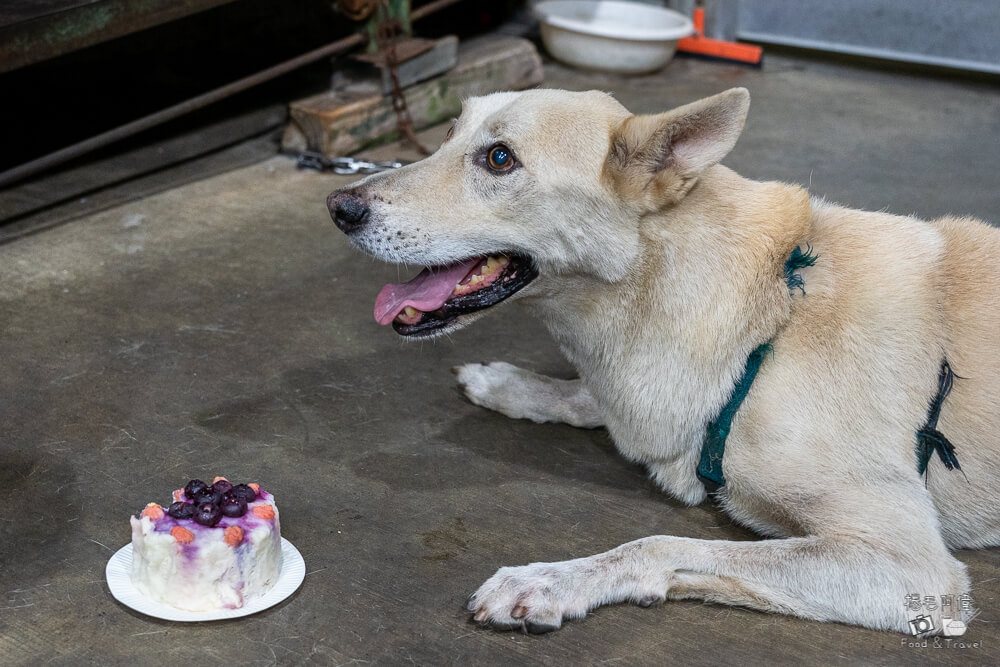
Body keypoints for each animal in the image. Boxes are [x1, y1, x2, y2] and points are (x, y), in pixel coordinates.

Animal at [324, 88, 996, 636]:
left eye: (499, 159)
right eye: (446, 136)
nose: (338, 206)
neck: (768, 320)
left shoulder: (907, 565)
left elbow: (656, 544)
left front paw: (550, 581)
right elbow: (584, 396)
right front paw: (508, 385)